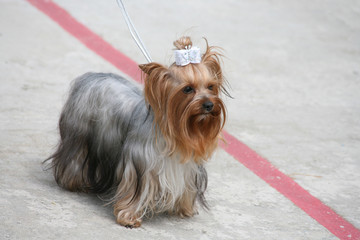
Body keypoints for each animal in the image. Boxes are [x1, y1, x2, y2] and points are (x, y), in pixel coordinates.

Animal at [46, 36, 228, 228]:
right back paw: (72, 182)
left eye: (210, 87)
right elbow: (135, 192)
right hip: (79, 138)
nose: (209, 105)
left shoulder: (187, 168)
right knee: (74, 158)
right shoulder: (140, 167)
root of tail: (90, 76)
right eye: (187, 89)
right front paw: (129, 217)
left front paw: (185, 208)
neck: (173, 132)